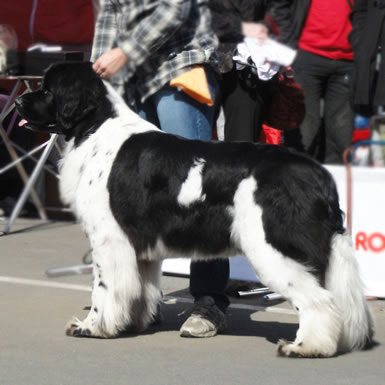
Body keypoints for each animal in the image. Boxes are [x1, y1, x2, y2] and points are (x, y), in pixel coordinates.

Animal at [15, 60, 372, 356]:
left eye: (46, 89)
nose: (18, 101)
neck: (95, 128)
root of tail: (319, 174)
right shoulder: (139, 246)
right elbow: (138, 289)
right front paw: (131, 324)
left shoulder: (108, 239)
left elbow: (103, 290)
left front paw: (91, 327)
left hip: (274, 247)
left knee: (319, 301)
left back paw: (305, 347)